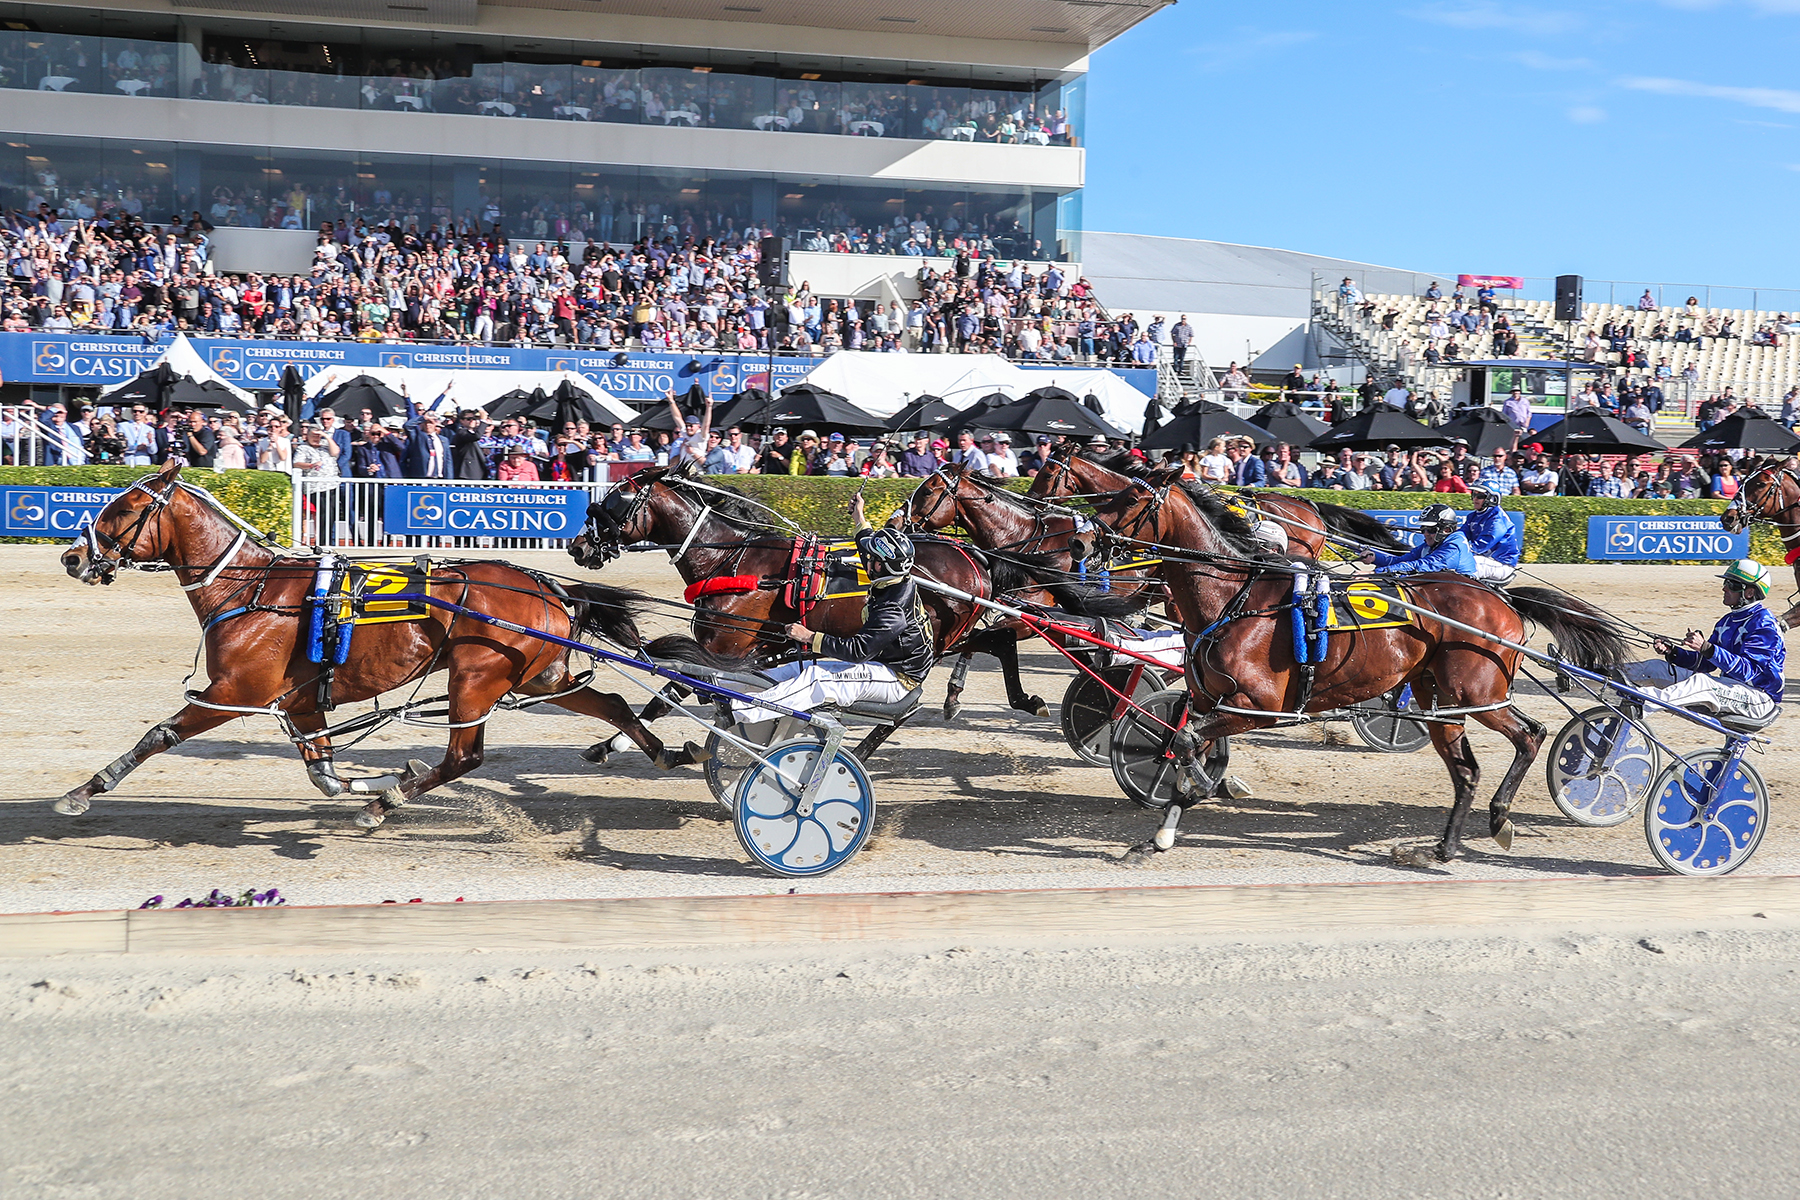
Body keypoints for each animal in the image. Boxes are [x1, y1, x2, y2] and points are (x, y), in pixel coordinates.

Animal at [51, 456, 709, 827]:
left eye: (121, 509)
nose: (72, 557)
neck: (254, 590)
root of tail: (546, 585)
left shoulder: (236, 691)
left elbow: (160, 734)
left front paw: (84, 791)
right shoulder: (301, 701)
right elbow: (321, 770)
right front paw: (368, 780)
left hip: (475, 677)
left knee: (464, 757)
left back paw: (384, 807)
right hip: (539, 676)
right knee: (612, 703)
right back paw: (671, 753)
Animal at [1080, 474, 1634, 867]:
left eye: (1131, 497)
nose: (1086, 539)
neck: (1236, 599)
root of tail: (1502, 600)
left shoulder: (1260, 708)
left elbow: (1187, 743)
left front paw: (1201, 791)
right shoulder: (1208, 701)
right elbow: (1180, 743)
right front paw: (1158, 836)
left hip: (1477, 691)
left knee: (1530, 735)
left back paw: (1500, 820)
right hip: (1438, 700)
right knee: (1466, 771)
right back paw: (1438, 849)